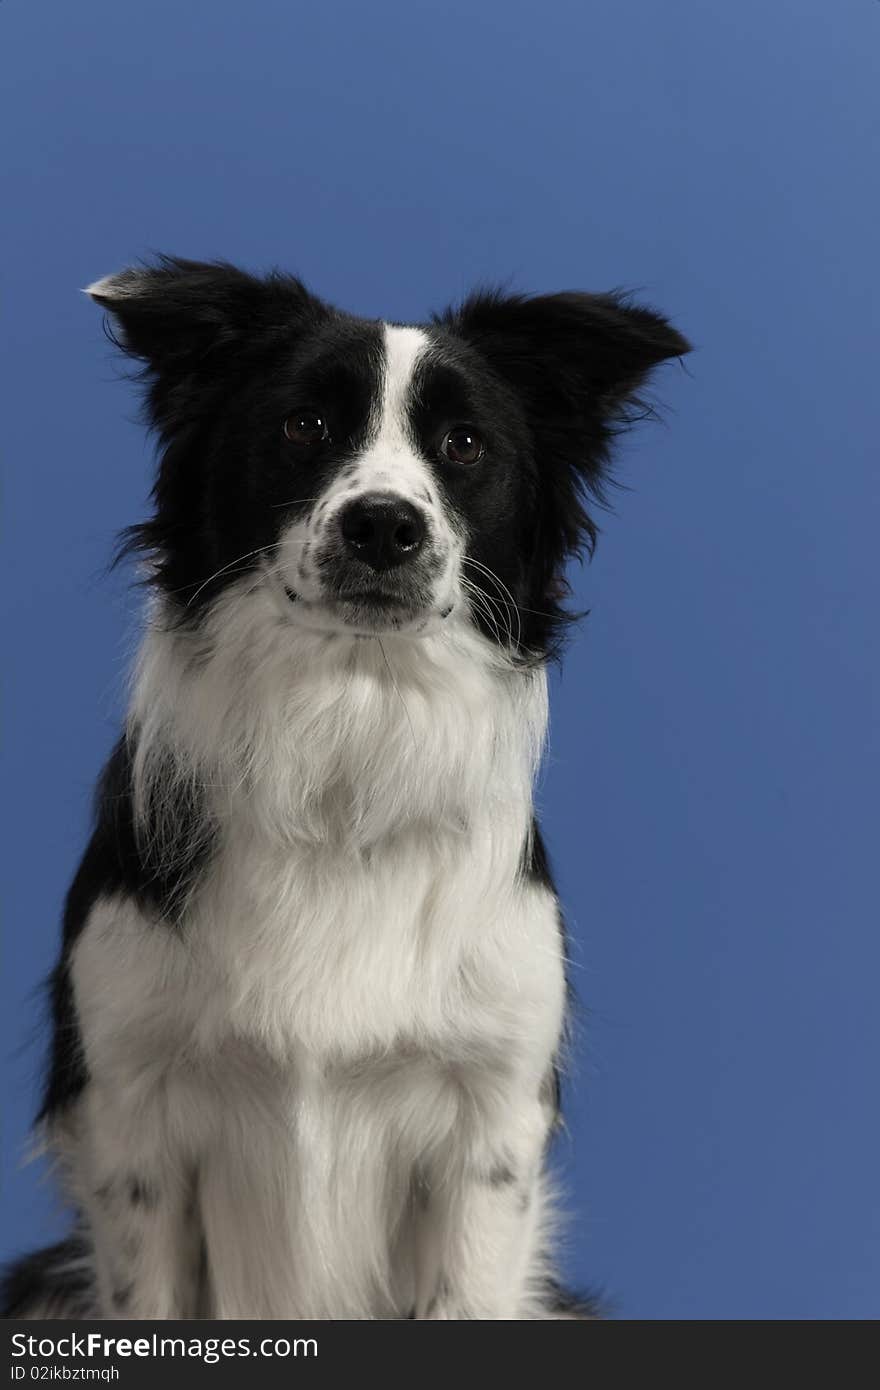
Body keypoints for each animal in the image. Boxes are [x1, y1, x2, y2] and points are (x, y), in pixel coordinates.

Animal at [3, 258, 686, 1312]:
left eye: (464, 443)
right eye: (304, 425)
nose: (385, 525)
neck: (345, 755)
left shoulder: (488, 1121)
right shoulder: (132, 1111)